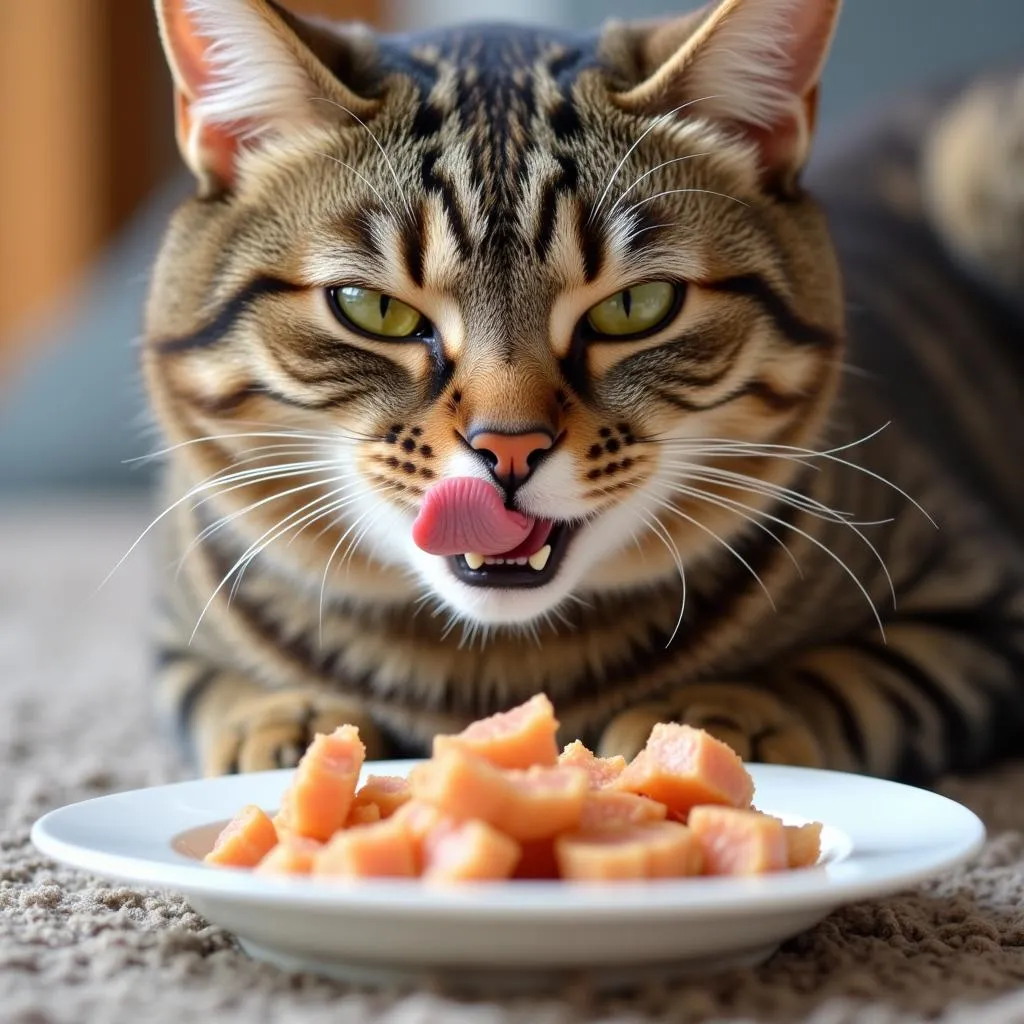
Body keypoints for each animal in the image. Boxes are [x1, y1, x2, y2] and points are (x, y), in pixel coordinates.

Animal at [142, 0, 1024, 778]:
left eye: (636, 307)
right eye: (373, 308)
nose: (508, 448)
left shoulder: (980, 603)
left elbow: (840, 678)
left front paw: (715, 717)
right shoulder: (172, 634)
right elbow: (214, 688)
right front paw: (281, 722)